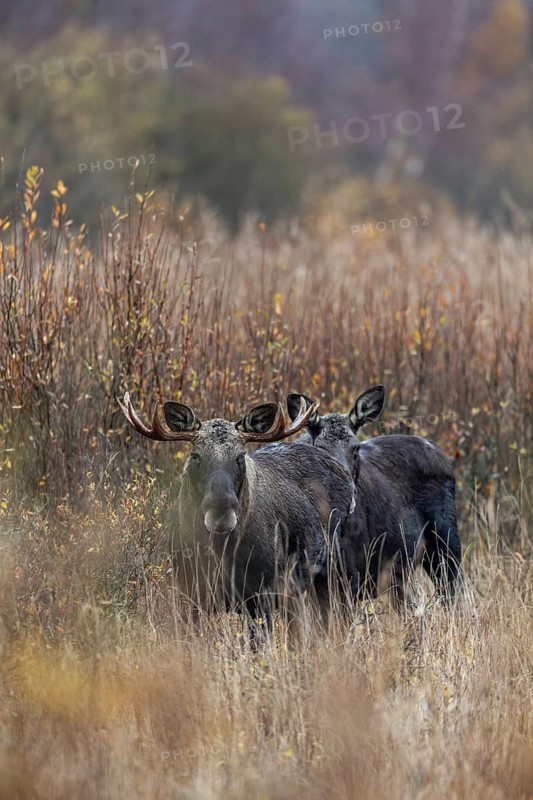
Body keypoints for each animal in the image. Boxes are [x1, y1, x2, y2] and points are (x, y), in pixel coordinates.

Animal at [119, 392, 355, 637]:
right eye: (195, 455)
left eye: (240, 456)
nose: (221, 514)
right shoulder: (190, 592)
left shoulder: (261, 593)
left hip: (331, 573)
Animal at [286, 385, 462, 609]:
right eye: (320, 447)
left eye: (356, 447)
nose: (348, 497)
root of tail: (438, 450)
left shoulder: (350, 578)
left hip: (446, 546)